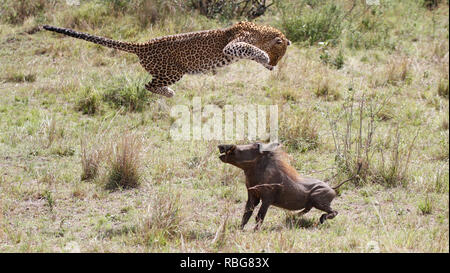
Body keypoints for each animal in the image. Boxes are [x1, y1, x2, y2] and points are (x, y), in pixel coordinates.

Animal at [43, 21, 292, 97]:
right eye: (278, 55)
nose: (274, 66)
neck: (261, 33)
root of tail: (143, 45)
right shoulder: (233, 44)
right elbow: (249, 49)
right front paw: (262, 57)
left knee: (149, 84)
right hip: (172, 72)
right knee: (149, 85)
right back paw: (169, 93)